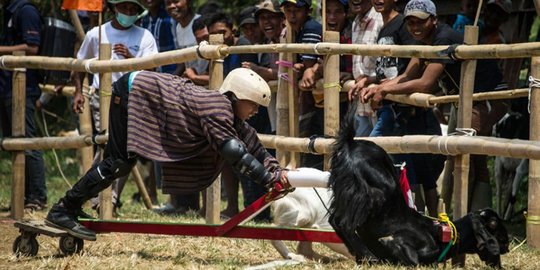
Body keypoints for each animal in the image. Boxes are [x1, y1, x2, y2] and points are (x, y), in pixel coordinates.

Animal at [326, 100, 508, 266]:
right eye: (498, 231)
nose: (506, 247)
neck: (441, 234)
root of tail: (351, 143)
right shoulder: (406, 245)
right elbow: (410, 257)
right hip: (375, 192)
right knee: (343, 223)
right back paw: (368, 255)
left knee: (334, 219)